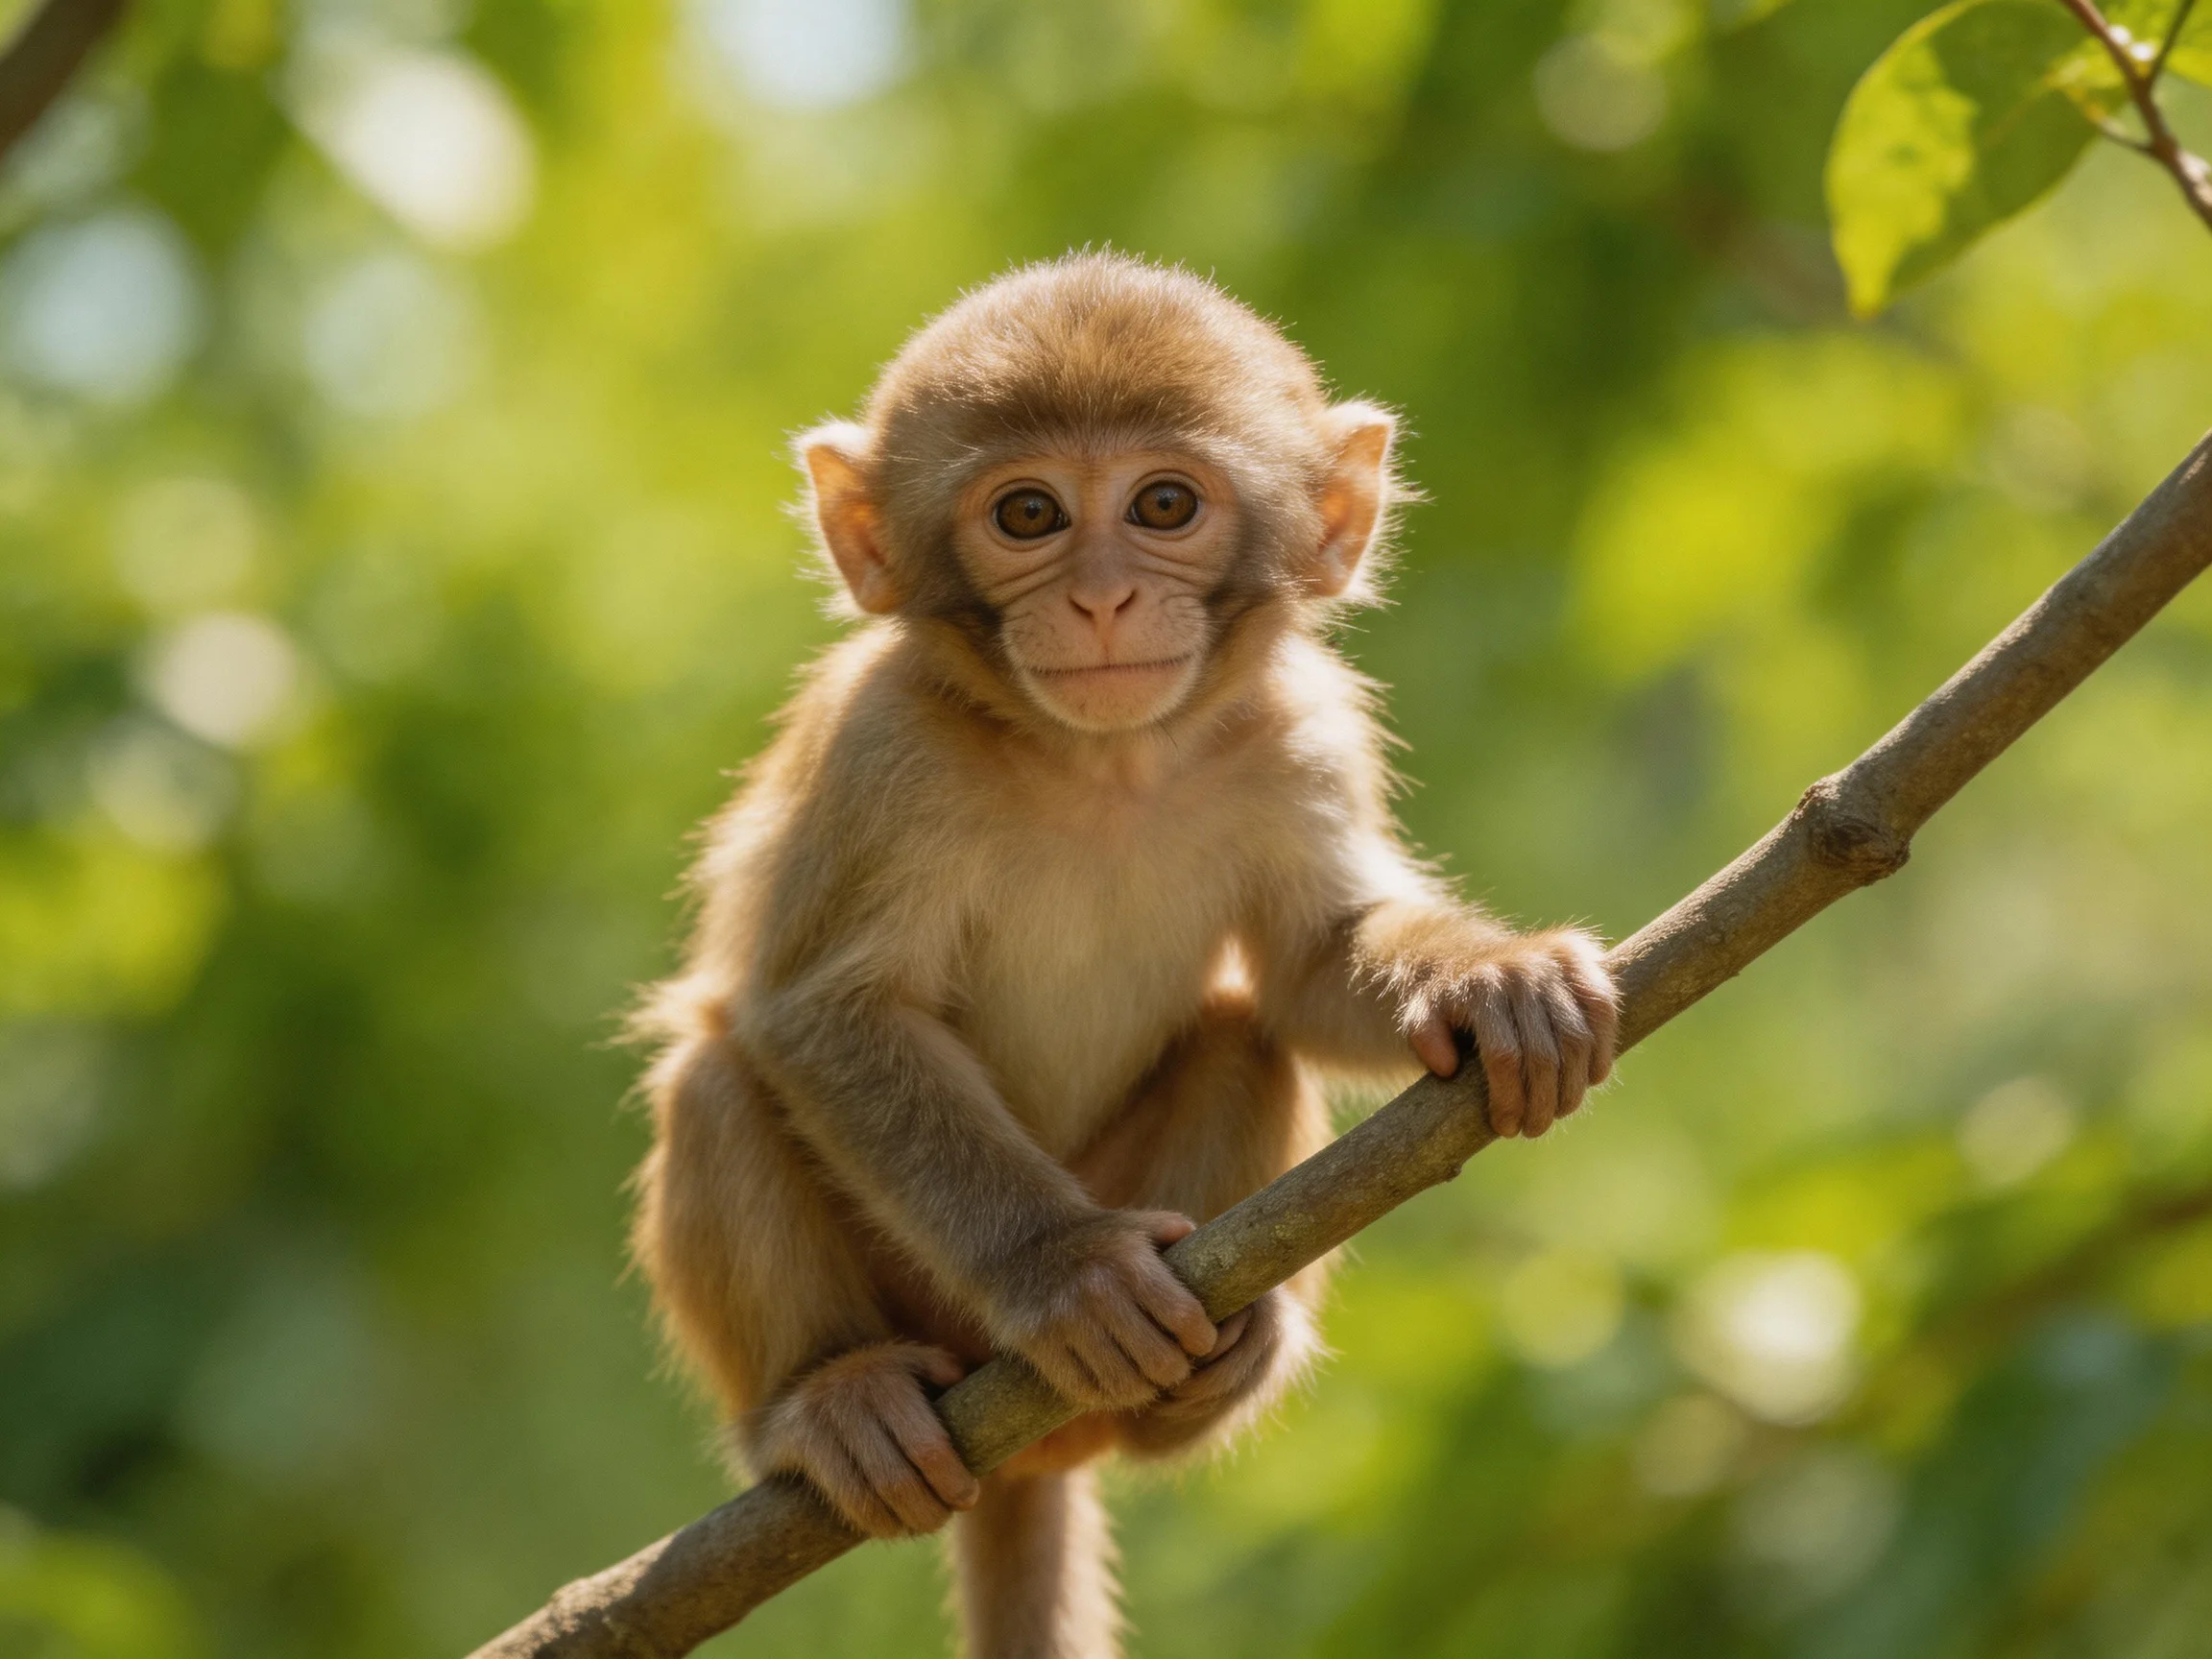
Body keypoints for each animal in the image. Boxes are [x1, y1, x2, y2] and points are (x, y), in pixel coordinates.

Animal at [628, 252, 1617, 1659]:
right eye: (1029, 514)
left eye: (1163, 504)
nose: (1099, 596)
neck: (1104, 764)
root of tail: (1025, 1445)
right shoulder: (888, 751)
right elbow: (827, 1016)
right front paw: (1070, 1274)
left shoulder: (1298, 729)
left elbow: (1311, 969)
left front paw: (1493, 983)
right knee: (716, 1080)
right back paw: (830, 1398)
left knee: (1241, 1038)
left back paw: (1195, 1385)